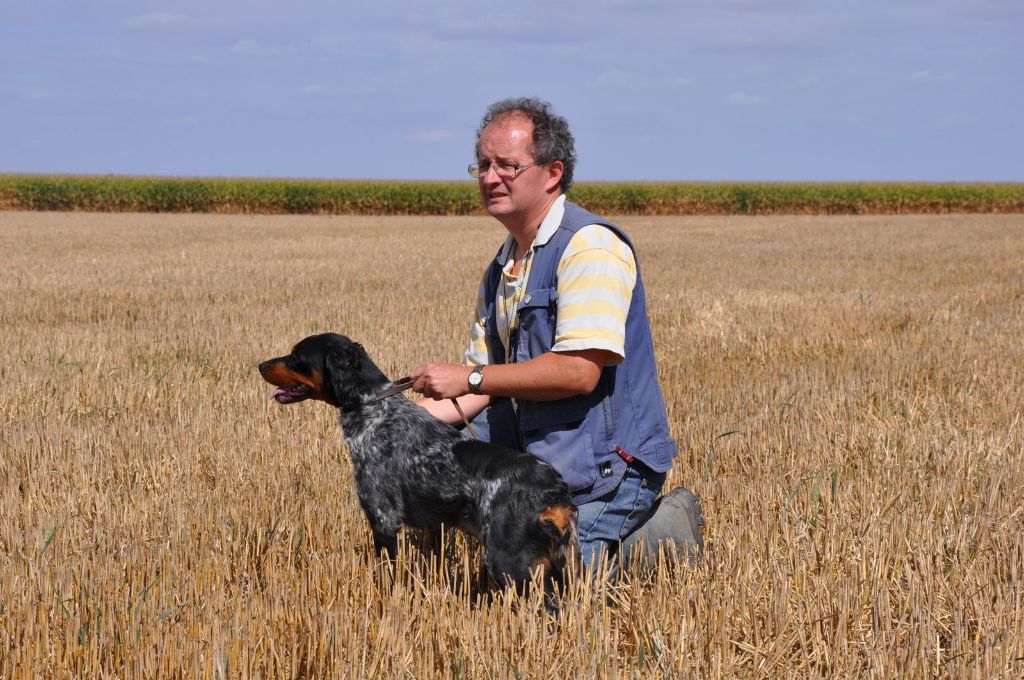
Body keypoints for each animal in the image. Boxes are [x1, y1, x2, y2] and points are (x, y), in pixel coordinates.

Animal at [258, 332, 576, 609]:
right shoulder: (431, 526)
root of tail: (555, 491)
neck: (374, 409)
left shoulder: (383, 519)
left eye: (297, 356)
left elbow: (386, 574)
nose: (260, 365)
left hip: (510, 561)